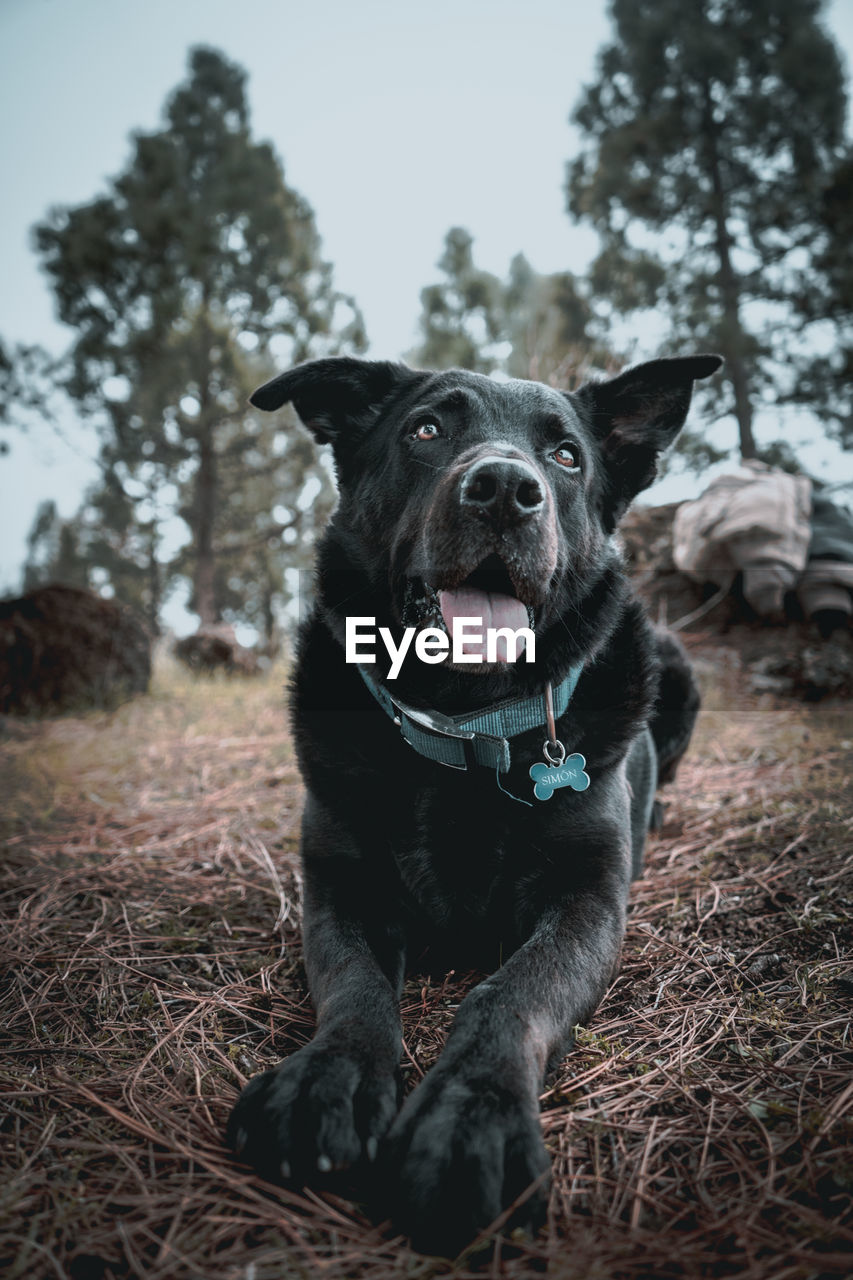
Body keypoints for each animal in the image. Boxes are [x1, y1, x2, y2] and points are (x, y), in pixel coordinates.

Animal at [225, 355, 717, 1254]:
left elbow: (509, 995)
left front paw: (467, 1121)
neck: (461, 721)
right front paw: (327, 1080)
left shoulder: (588, 902)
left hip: (674, 660)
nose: (503, 491)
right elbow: (354, 986)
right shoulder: (340, 890)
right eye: (426, 430)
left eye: (564, 457)